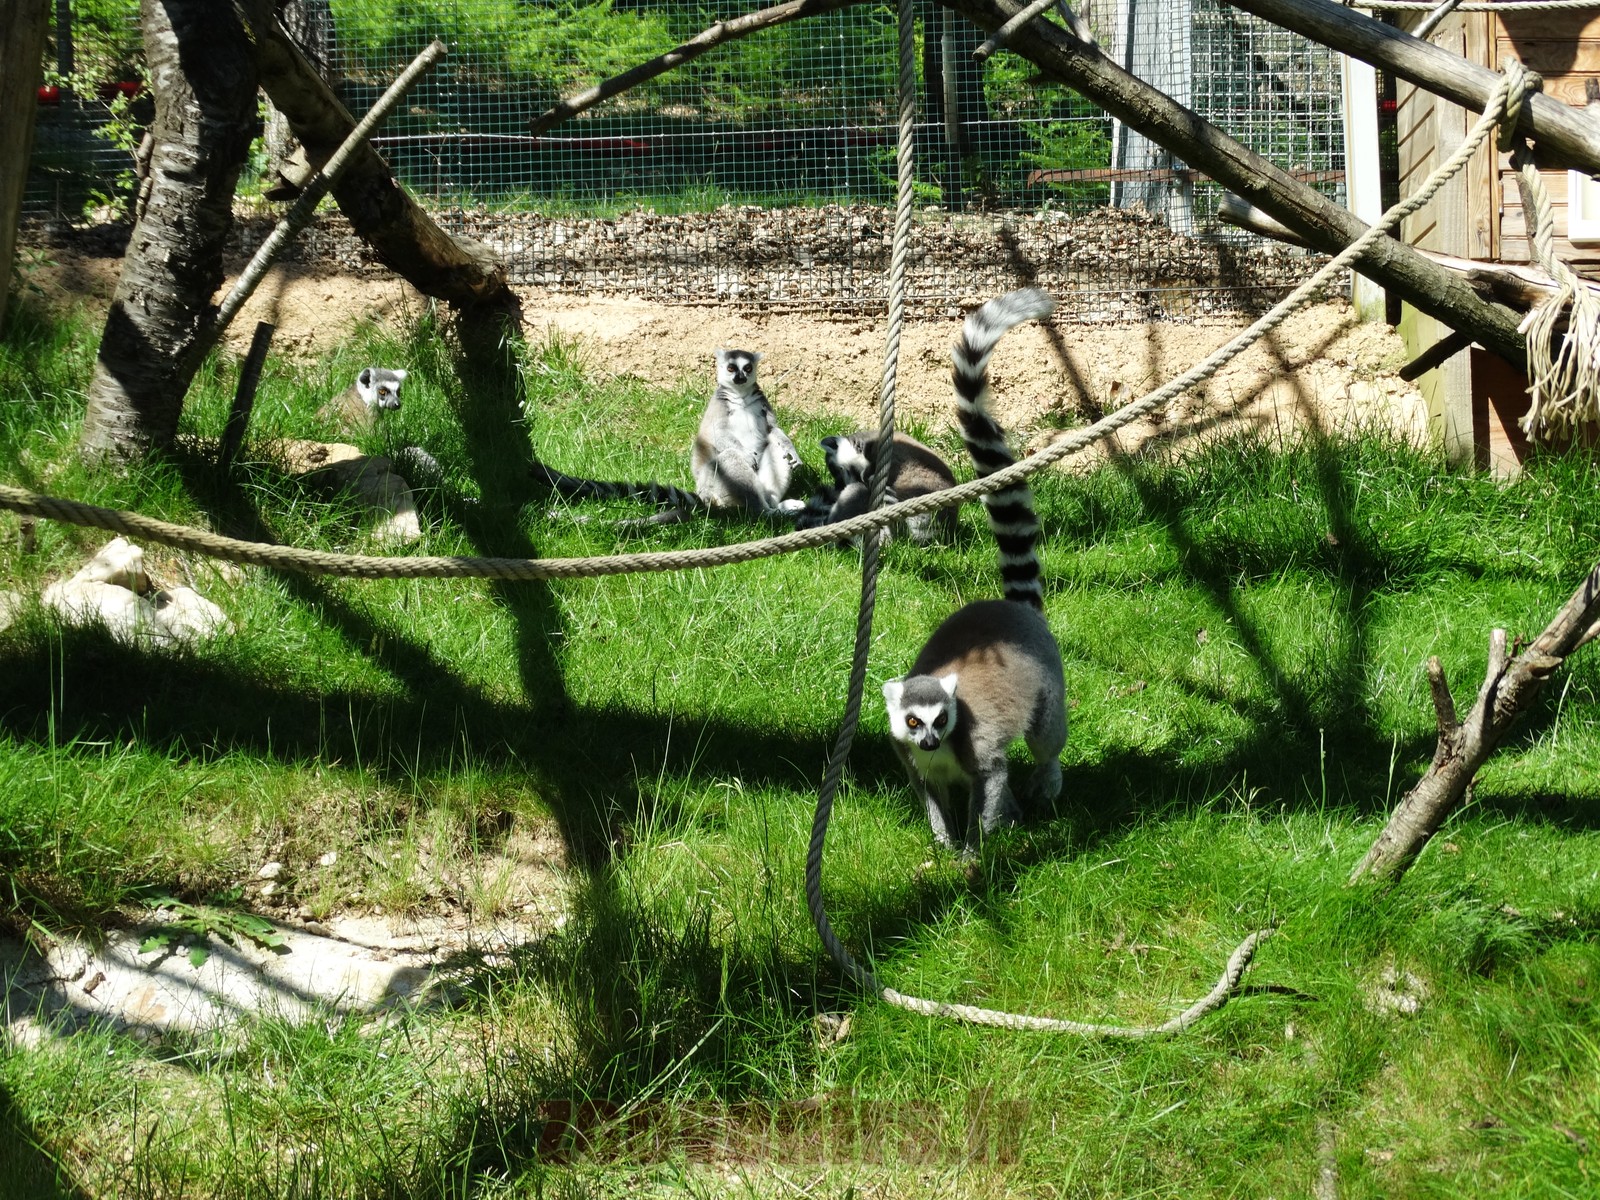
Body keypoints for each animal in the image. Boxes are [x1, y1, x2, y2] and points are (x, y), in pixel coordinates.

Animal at [880, 288, 1066, 857]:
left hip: (1049, 684)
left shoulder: (978, 751)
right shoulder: (910, 758)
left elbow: (992, 779)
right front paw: (943, 844)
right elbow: (931, 795)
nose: (930, 739)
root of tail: (1009, 609)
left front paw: (976, 853)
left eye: (941, 719)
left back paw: (1048, 780)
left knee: (1046, 737)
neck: (941, 751)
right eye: (912, 720)